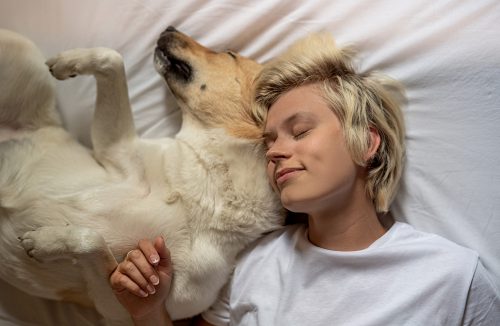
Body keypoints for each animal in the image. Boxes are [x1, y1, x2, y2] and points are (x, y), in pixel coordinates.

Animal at [0, 26, 284, 324]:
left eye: (229, 54)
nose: (169, 27)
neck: (205, 192)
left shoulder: (118, 309)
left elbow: (94, 241)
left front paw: (43, 242)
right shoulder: (115, 150)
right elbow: (113, 59)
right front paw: (68, 62)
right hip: (21, 47)